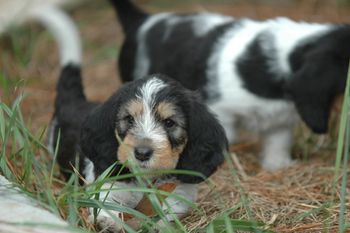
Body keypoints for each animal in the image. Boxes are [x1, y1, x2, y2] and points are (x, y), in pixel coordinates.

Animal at [33, 4, 227, 232]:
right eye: (129, 119)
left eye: (169, 123)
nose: (142, 153)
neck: (145, 180)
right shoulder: (105, 189)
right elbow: (107, 210)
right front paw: (112, 223)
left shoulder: (178, 196)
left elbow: (168, 217)